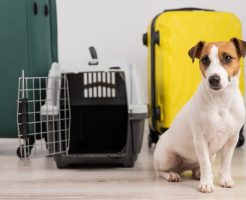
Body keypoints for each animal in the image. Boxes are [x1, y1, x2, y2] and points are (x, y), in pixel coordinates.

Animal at [154, 37, 246, 192]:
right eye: (205, 59)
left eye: (227, 57)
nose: (213, 79)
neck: (220, 101)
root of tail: (182, 168)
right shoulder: (200, 140)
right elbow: (205, 164)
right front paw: (206, 183)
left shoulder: (232, 139)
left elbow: (226, 162)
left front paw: (225, 179)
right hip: (167, 158)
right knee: (160, 171)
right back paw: (171, 175)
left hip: (210, 156)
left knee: (196, 166)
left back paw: (197, 173)